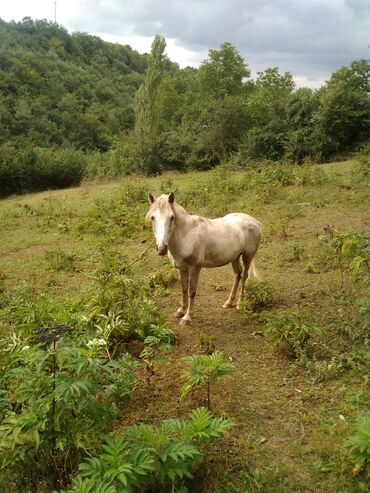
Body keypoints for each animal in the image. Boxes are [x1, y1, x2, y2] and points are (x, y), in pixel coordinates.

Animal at [146, 193, 262, 326]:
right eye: (152, 217)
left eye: (171, 217)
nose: (161, 248)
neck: (187, 235)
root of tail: (255, 222)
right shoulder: (182, 269)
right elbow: (184, 289)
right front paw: (180, 311)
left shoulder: (195, 268)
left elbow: (192, 292)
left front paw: (187, 317)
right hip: (235, 257)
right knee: (237, 274)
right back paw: (228, 303)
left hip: (247, 256)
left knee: (244, 276)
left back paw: (239, 304)